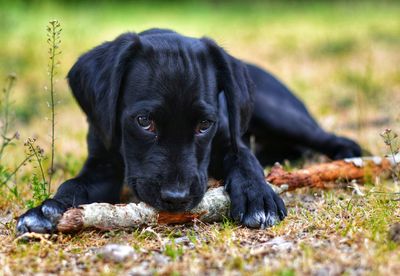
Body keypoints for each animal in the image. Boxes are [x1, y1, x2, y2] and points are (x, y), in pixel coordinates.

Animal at [15, 28, 360, 233]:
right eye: (144, 121)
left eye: (204, 124)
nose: (177, 198)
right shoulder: (102, 165)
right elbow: (75, 186)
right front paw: (47, 210)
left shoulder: (229, 138)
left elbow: (245, 160)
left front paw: (258, 197)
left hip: (276, 112)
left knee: (331, 138)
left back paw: (345, 157)